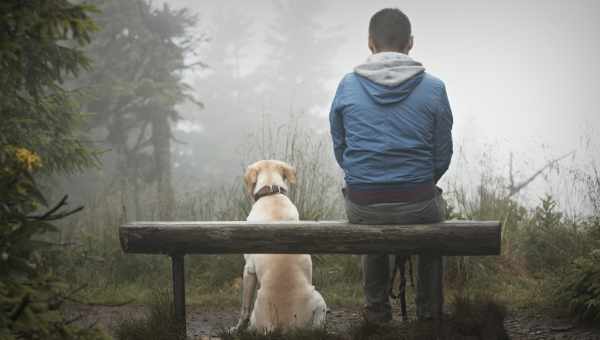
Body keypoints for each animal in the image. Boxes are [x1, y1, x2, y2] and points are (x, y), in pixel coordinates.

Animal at [233, 159, 328, 332]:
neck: (271, 194)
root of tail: (281, 326)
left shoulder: (248, 269)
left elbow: (244, 308)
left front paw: (237, 329)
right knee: (318, 327)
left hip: (317, 297)